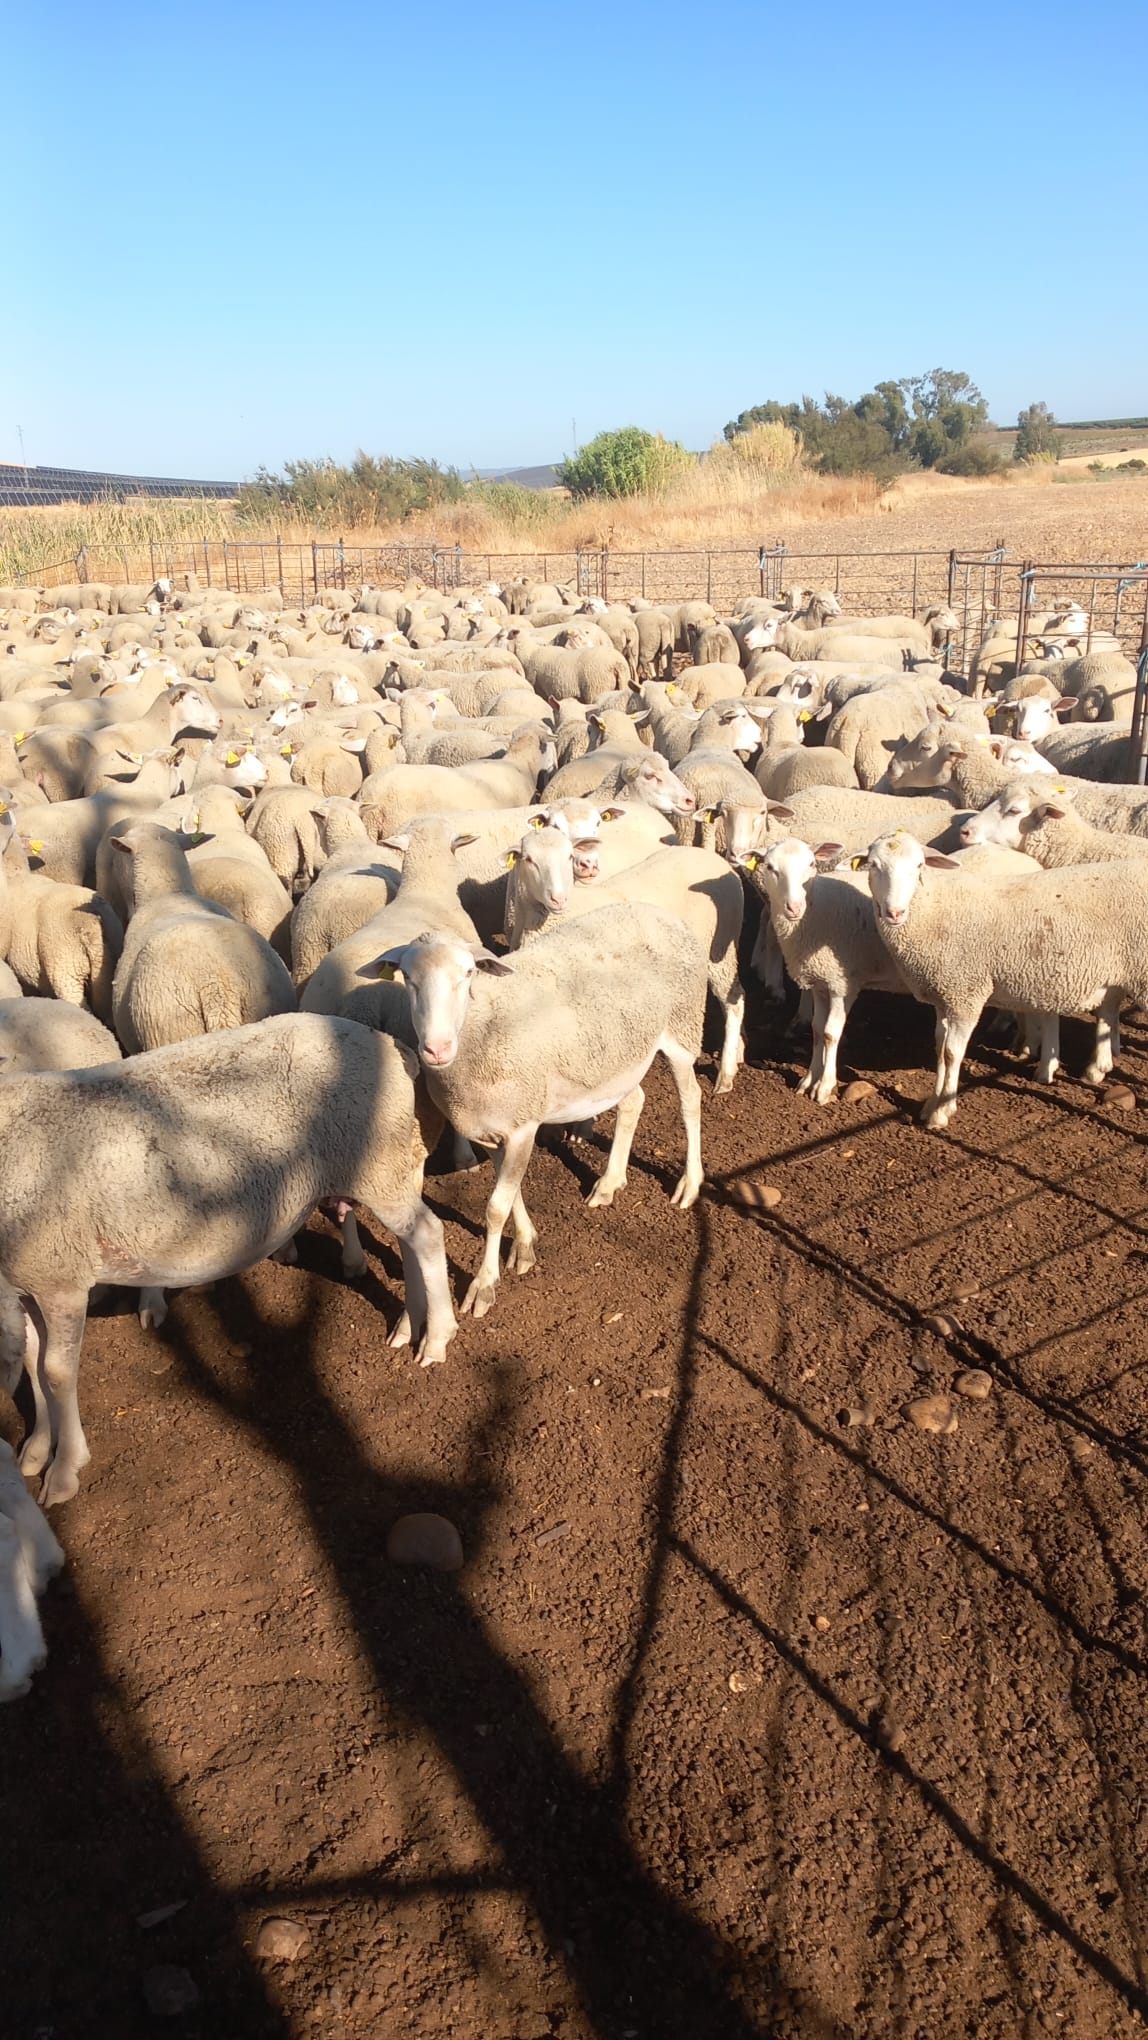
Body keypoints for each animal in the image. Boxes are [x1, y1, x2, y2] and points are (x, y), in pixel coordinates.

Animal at [0, 1013, 457, 1503]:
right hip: (389, 1167)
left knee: (427, 1234)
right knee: (411, 1240)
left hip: (377, 1163)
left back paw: (437, 1337)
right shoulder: (25, 1282)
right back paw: (410, 1323)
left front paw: (64, 1469)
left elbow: (56, 1371)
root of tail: (391, 1045)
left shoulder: (60, 1275)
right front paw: (35, 1449)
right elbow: (32, 1363)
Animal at [367, 906, 708, 1317]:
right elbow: (510, 1194)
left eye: (468, 973)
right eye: (407, 977)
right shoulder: (494, 1127)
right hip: (620, 1057)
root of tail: (653, 910)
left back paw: (689, 1183)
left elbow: (496, 1208)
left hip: (682, 1026)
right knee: (633, 1101)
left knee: (691, 1100)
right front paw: (525, 1244)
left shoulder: (522, 1126)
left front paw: (484, 1284)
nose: (437, 1048)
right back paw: (609, 1183)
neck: (483, 1023)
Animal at [504, 829, 746, 1093]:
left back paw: (725, 1075)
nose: (558, 899)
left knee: (734, 1001)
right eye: (528, 859)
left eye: (569, 856)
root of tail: (713, 858)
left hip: (720, 948)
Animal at [862, 831, 1148, 1124]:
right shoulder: (945, 995)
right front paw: (931, 1105)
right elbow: (939, 1049)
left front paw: (941, 1113)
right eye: (872, 865)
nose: (895, 913)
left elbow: (952, 1054)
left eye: (919, 865)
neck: (933, 908)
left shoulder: (966, 993)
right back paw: (1095, 1068)